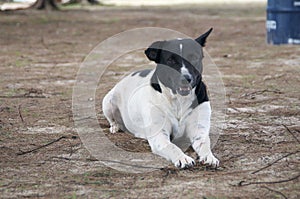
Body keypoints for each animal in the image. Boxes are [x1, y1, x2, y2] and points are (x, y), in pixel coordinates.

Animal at [102, 28, 218, 168]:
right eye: (170, 60)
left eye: (194, 58)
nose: (186, 78)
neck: (178, 100)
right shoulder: (160, 136)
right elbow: (173, 147)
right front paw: (183, 158)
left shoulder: (198, 132)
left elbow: (205, 145)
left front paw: (209, 157)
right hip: (108, 102)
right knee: (112, 119)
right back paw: (115, 127)